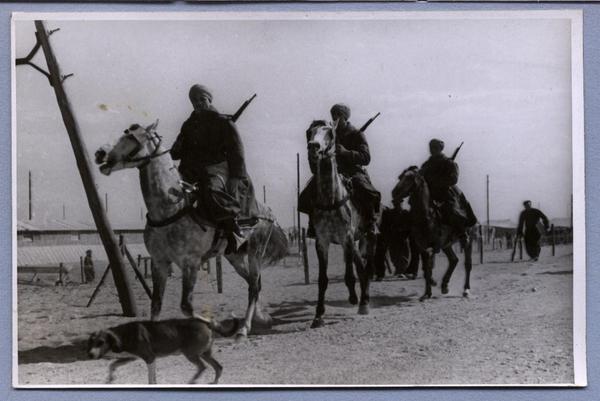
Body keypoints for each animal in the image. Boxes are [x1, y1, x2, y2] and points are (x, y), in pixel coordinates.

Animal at [86, 316, 239, 384]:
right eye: (91, 342)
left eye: (101, 342)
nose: (90, 355)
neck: (124, 334)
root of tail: (206, 323)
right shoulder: (131, 357)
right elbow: (113, 365)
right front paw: (110, 379)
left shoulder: (149, 358)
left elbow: (151, 379)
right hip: (204, 353)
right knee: (218, 367)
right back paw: (214, 383)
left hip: (191, 354)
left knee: (202, 367)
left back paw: (192, 381)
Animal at [95, 119, 288, 338]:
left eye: (130, 137)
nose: (100, 153)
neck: (171, 209)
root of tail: (268, 212)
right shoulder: (159, 262)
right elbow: (156, 305)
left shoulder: (190, 263)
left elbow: (186, 307)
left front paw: (220, 326)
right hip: (234, 256)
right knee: (252, 283)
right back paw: (260, 318)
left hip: (256, 252)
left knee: (254, 285)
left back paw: (243, 328)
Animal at [394, 165, 474, 300]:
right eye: (400, 177)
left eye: (410, 178)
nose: (394, 193)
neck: (427, 217)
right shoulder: (422, 247)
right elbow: (426, 269)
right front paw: (429, 289)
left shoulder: (431, 247)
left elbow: (428, 268)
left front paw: (428, 292)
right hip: (446, 245)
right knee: (454, 260)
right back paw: (444, 286)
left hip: (467, 240)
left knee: (467, 263)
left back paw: (466, 290)